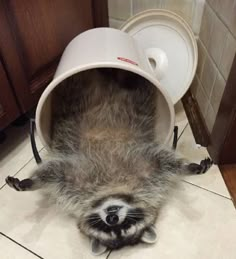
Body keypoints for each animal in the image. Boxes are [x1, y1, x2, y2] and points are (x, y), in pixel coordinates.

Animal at [5, 68, 212, 256]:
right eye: (103, 226)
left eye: (127, 224)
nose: (112, 218)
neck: (110, 188)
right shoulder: (72, 178)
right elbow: (51, 172)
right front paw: (31, 182)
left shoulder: (149, 170)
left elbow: (166, 161)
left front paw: (187, 168)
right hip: (73, 99)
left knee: (137, 87)